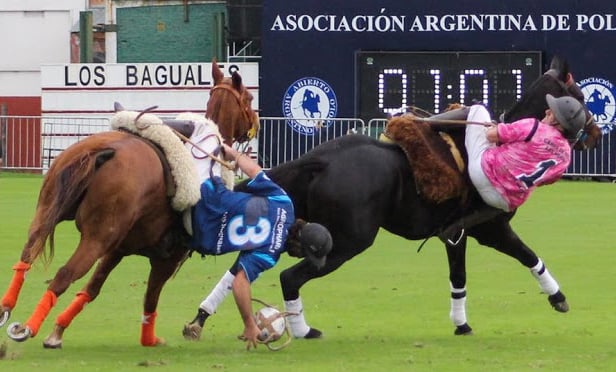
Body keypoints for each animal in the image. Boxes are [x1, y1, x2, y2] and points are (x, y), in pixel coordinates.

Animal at [0, 61, 258, 348]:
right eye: (249, 98)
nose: (256, 122)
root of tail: (101, 150)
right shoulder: (167, 256)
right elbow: (151, 297)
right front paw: (149, 338)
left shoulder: (118, 248)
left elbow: (92, 289)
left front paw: (58, 331)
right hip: (97, 238)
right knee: (64, 275)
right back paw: (27, 327)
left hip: (48, 212)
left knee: (27, 255)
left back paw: (6, 308)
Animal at [239, 55, 600, 338]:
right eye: (580, 94)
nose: (595, 133)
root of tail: (321, 158)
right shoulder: (489, 229)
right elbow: (525, 256)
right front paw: (556, 296)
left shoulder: (459, 233)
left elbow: (464, 274)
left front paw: (461, 323)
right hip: (345, 241)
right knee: (290, 277)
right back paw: (303, 330)